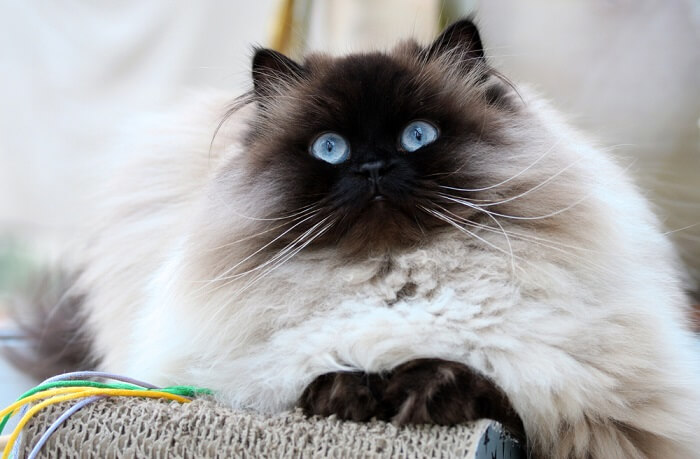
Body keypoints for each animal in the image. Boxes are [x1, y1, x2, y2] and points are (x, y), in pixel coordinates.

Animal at [12, 18, 700, 459]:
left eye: (417, 136)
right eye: (330, 149)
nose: (371, 168)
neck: (395, 279)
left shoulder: (600, 422)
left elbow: (498, 395)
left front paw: (418, 393)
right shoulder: (227, 384)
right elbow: (306, 380)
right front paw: (350, 396)